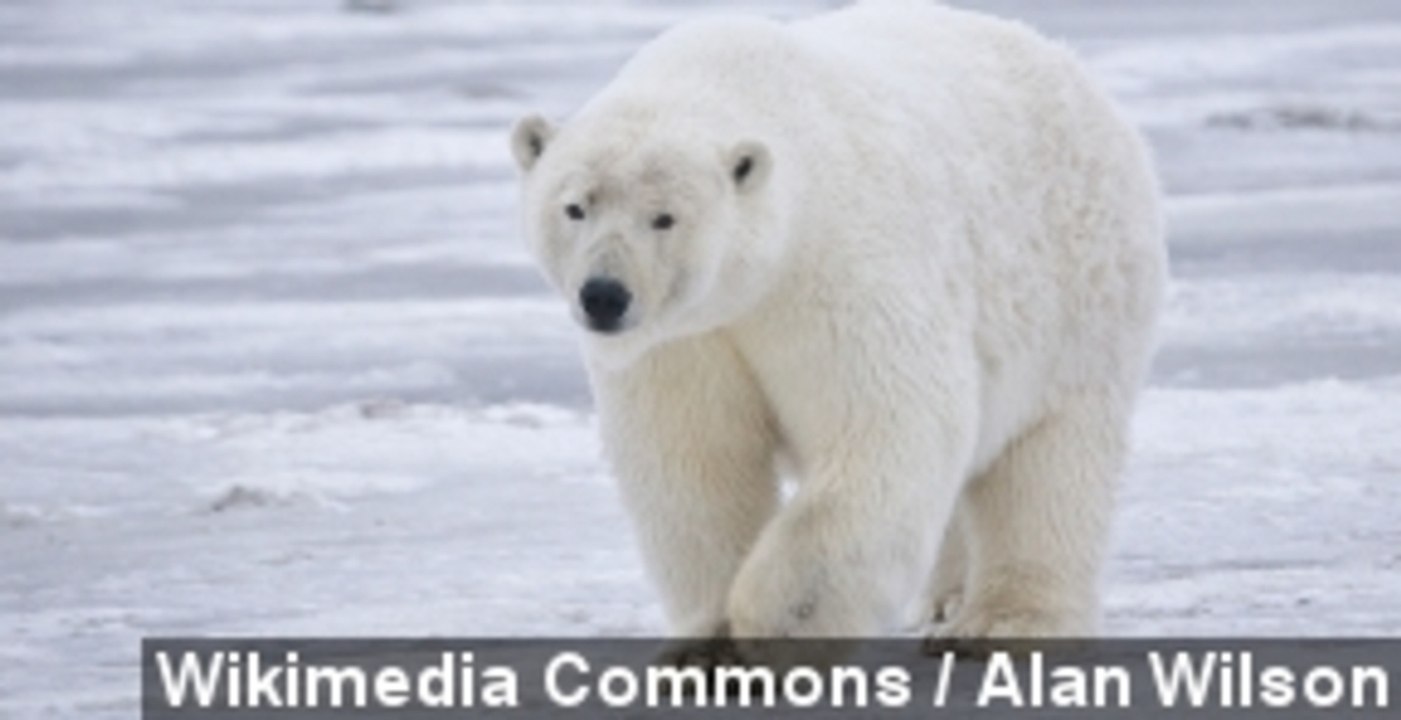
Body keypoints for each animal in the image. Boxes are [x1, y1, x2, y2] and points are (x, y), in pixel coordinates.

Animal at [509, 0, 1167, 647]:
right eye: (575, 206)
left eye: (664, 217)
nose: (604, 296)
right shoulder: (686, 339)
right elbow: (695, 458)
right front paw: (708, 642)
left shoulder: (837, 267)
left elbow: (888, 426)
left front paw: (773, 623)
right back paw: (943, 601)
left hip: (1079, 294)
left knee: (1049, 463)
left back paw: (1000, 623)